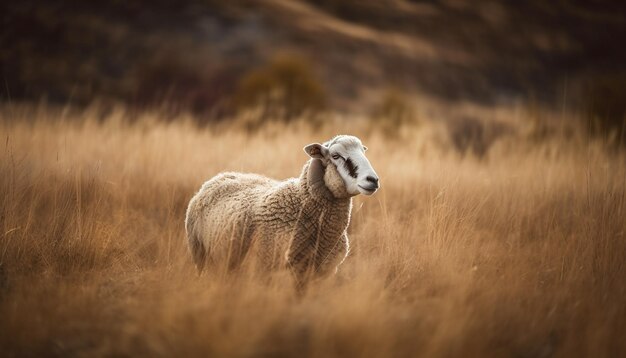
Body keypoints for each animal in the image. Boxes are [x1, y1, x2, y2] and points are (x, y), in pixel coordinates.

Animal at [184, 134, 380, 282]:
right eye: (336, 156)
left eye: (363, 151)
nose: (373, 180)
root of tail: (221, 176)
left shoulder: (321, 274)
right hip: (200, 255)